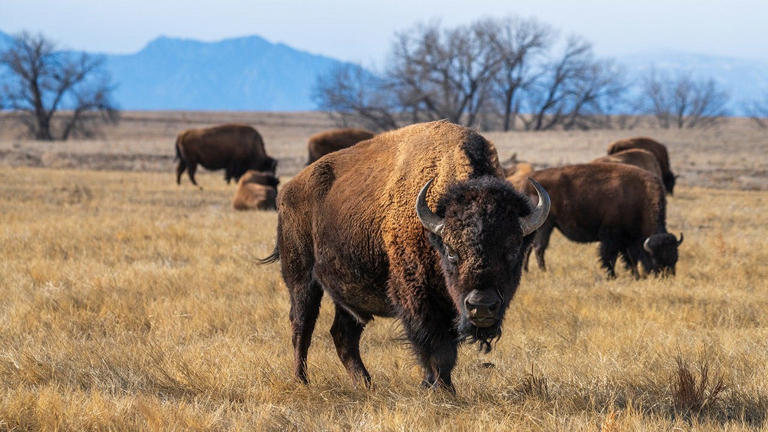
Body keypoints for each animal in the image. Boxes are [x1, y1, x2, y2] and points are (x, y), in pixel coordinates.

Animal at [259, 120, 549, 391]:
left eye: (513, 250)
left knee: (343, 335)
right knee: (302, 327)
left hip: (347, 292)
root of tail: (289, 190)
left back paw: (365, 384)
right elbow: (437, 349)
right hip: (301, 279)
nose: (481, 305)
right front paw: (441, 389)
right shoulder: (418, 298)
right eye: (451, 252)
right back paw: (302, 381)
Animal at [523, 163, 682, 278]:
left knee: (529, 248)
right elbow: (609, 256)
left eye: (675, 258)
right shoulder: (611, 237)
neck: (639, 199)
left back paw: (526, 270)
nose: (667, 276)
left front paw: (634, 275)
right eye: (655, 258)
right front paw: (612, 276)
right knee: (539, 248)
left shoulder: (626, 240)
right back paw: (543, 271)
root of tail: (528, 182)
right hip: (546, 225)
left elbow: (629, 258)